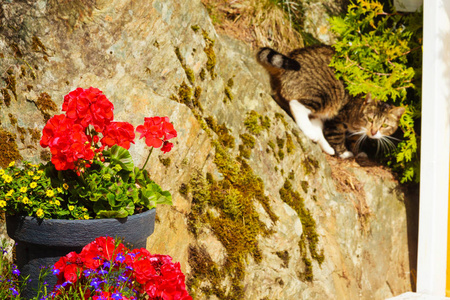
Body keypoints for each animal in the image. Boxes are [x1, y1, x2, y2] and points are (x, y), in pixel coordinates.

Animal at [256, 45, 404, 158]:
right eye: (370, 119)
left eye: (384, 125)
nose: (373, 132)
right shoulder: (337, 119)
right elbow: (337, 135)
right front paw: (344, 153)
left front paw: (357, 151)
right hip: (326, 95)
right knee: (296, 104)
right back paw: (310, 132)